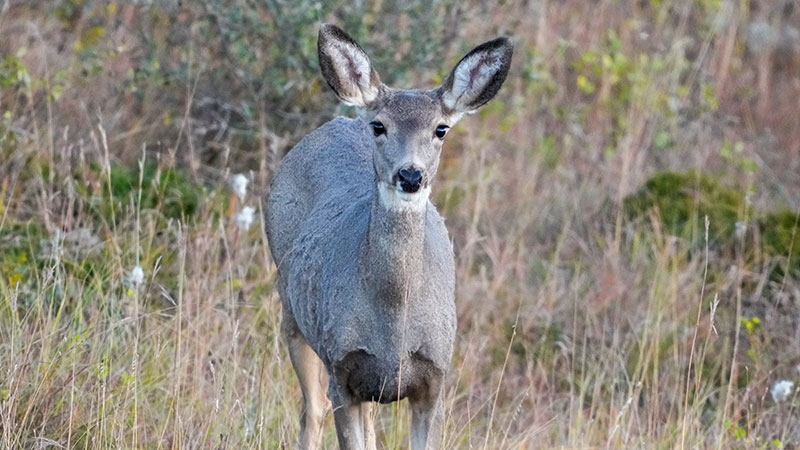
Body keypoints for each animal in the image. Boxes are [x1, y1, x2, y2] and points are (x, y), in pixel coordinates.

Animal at [264, 24, 512, 450]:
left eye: (440, 129)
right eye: (380, 126)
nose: (410, 175)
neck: (393, 321)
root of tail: (338, 121)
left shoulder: (434, 378)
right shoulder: (342, 369)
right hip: (292, 310)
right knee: (311, 411)